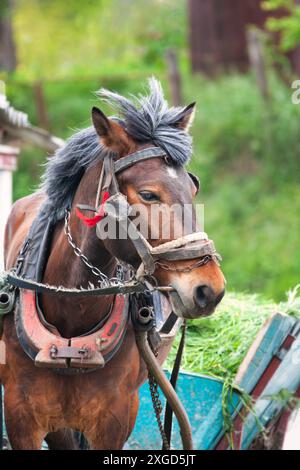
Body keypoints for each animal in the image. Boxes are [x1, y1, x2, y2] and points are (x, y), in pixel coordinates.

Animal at [0, 79, 225, 450]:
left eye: (192, 190)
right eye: (148, 194)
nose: (210, 288)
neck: (71, 313)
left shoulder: (115, 418)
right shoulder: (22, 415)